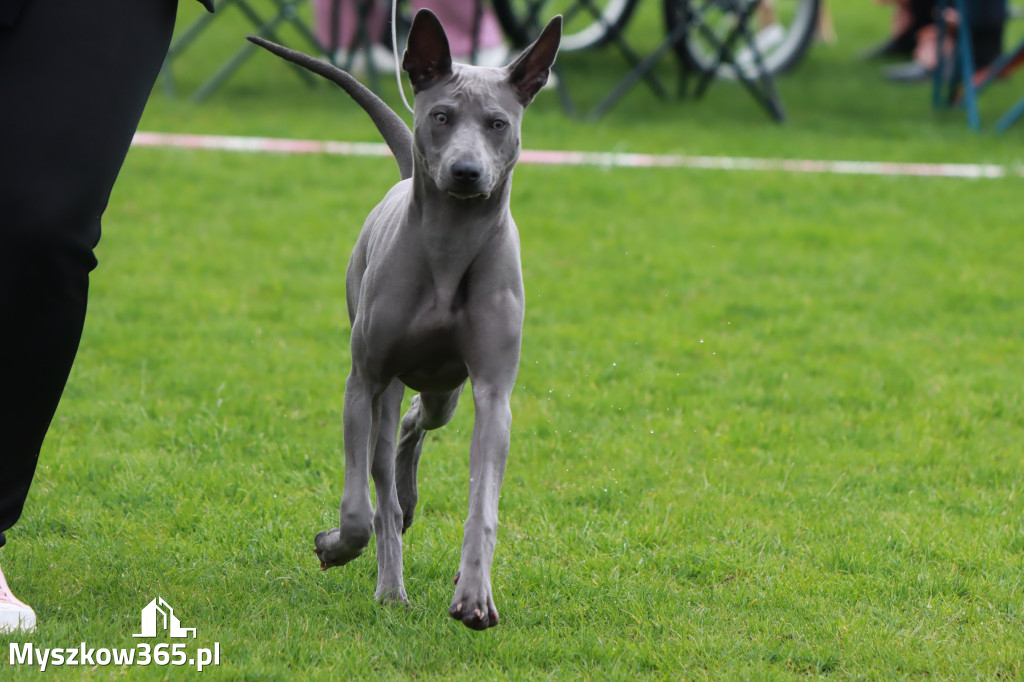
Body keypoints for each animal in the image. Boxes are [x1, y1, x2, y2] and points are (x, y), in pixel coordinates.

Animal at [250, 9, 565, 626]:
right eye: (441, 116)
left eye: (497, 123)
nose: (466, 172)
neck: (450, 243)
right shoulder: (364, 379)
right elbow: (356, 510)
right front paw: (334, 546)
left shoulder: (493, 393)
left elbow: (482, 504)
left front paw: (475, 594)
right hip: (387, 381)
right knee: (385, 467)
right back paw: (390, 582)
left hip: (446, 391)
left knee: (417, 424)